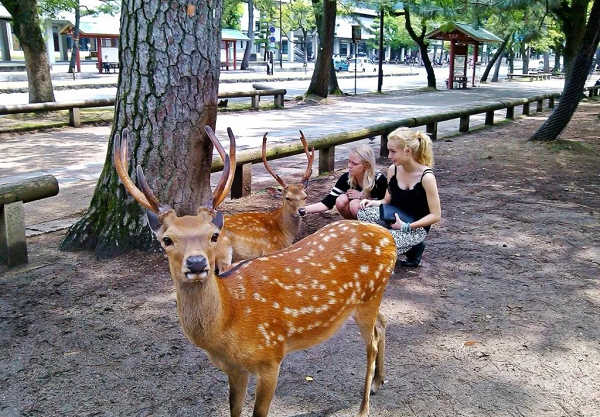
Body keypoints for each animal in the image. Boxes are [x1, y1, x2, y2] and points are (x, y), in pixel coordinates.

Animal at [205, 128, 314, 272]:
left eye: (305, 196)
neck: (284, 232)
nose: (302, 211)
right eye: (288, 198)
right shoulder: (270, 249)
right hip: (223, 250)